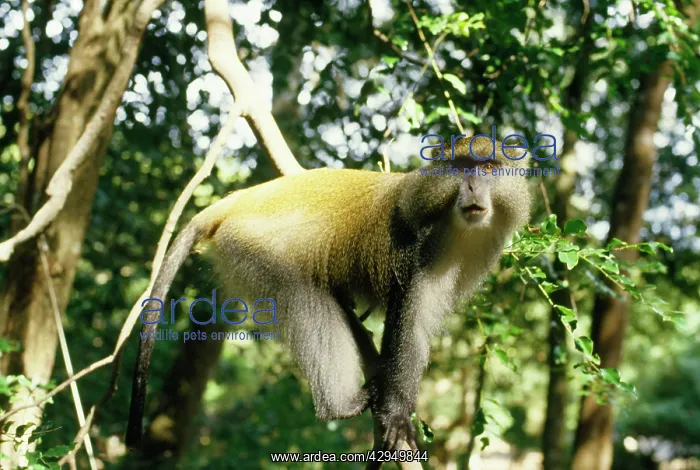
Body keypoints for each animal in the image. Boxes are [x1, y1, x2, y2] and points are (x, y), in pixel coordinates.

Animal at [126, 136, 531, 452]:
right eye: (461, 168)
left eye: (488, 168)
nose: (473, 188)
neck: (459, 229)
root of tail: (241, 199)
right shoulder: (419, 251)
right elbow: (409, 322)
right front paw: (398, 416)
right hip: (251, 249)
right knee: (304, 298)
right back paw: (341, 405)